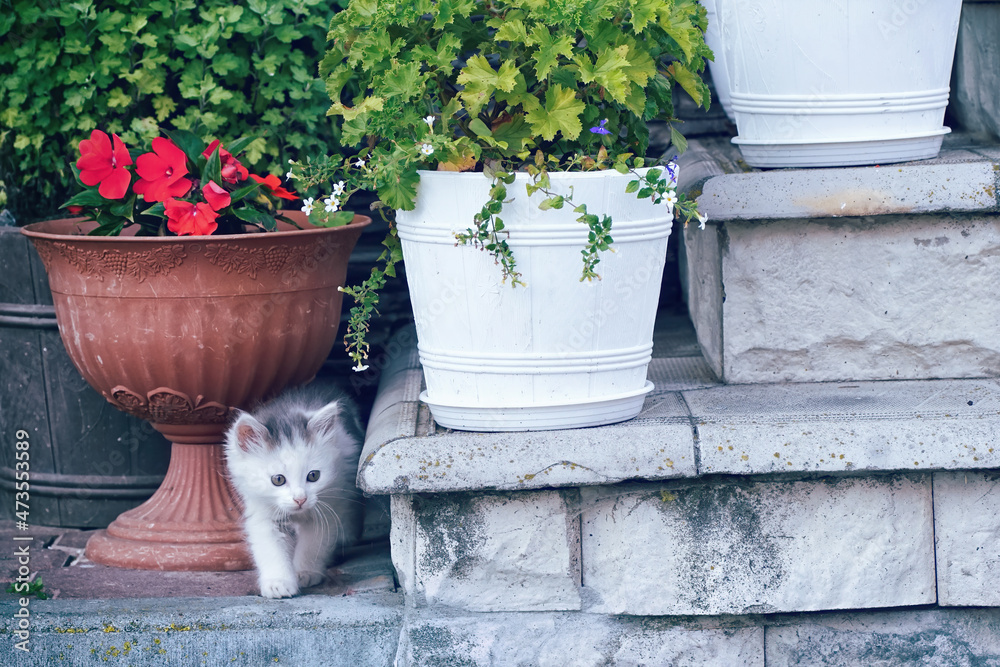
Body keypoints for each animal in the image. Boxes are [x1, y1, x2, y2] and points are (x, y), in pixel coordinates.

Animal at [225, 384, 366, 596]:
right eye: (278, 480)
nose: (300, 499)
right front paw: (278, 583)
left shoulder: (325, 508)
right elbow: (271, 550)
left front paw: (305, 572)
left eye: (313, 476)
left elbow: (313, 546)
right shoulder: (262, 513)